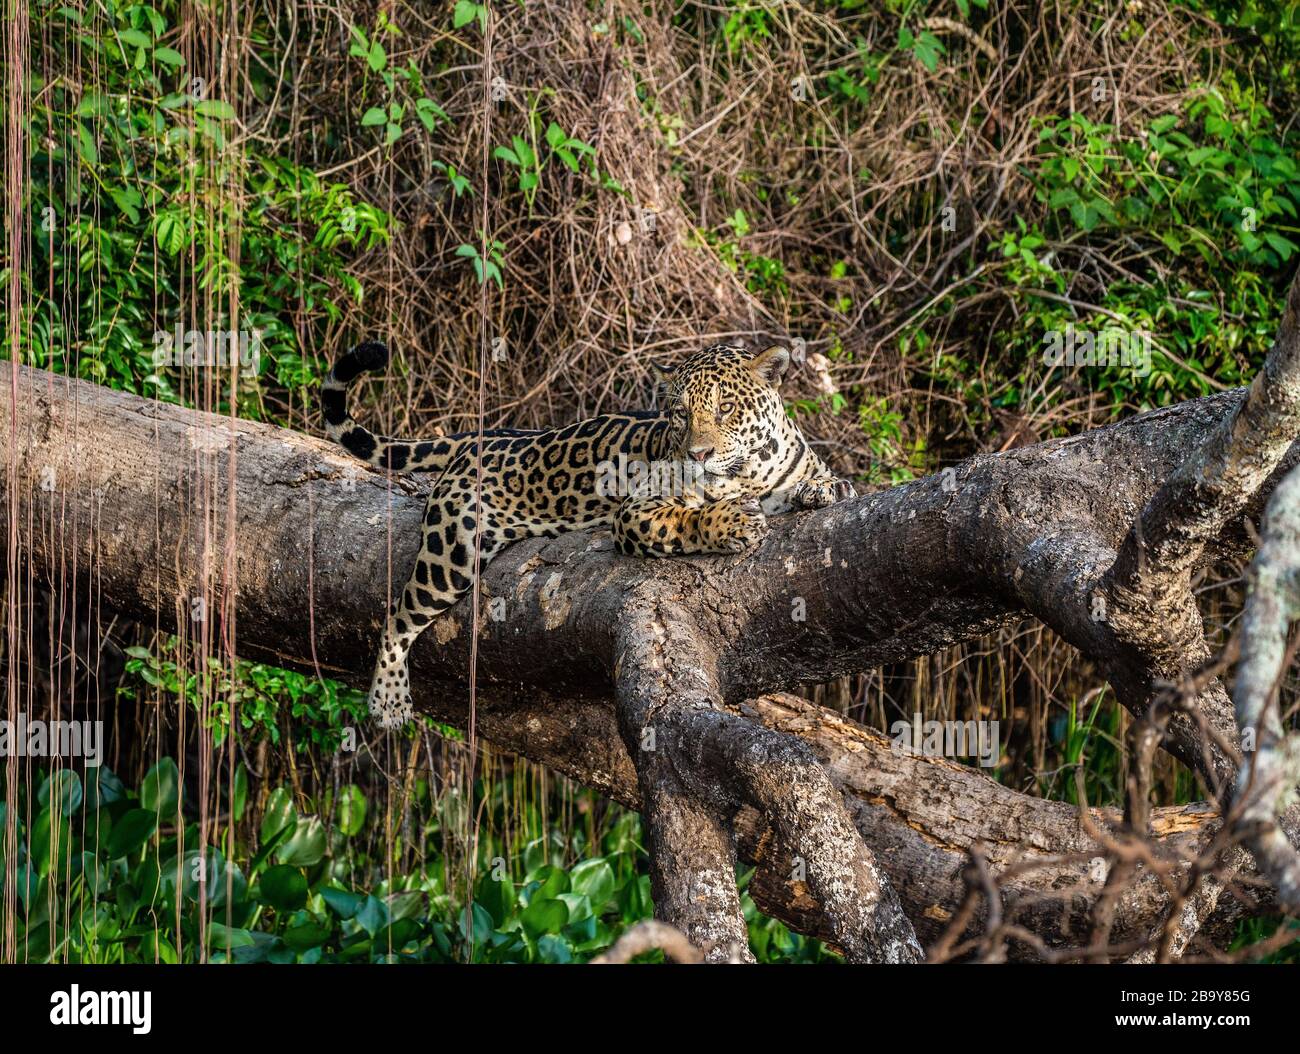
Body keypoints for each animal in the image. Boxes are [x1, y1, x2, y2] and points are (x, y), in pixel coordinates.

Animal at [322, 339, 857, 729]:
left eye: (725, 408)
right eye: (680, 414)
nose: (698, 455)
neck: (752, 474)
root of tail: (484, 437)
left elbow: (821, 482)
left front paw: (828, 487)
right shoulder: (637, 513)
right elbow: (691, 519)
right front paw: (733, 521)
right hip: (453, 548)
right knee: (398, 614)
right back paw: (388, 701)